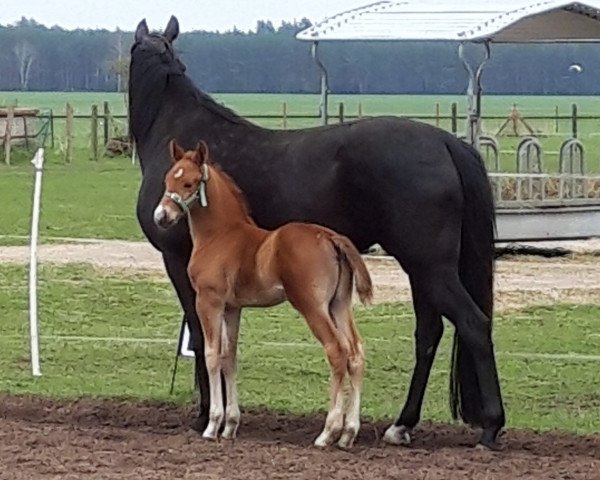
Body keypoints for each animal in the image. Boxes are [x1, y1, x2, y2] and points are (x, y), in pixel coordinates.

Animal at [155, 140, 370, 450]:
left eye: (189, 183)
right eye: (168, 180)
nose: (162, 216)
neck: (220, 235)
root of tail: (330, 237)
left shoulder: (209, 301)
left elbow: (211, 355)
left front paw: (212, 425)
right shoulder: (233, 308)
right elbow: (229, 356)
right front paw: (230, 426)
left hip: (313, 306)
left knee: (336, 351)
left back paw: (328, 432)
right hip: (338, 305)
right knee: (356, 354)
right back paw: (348, 433)